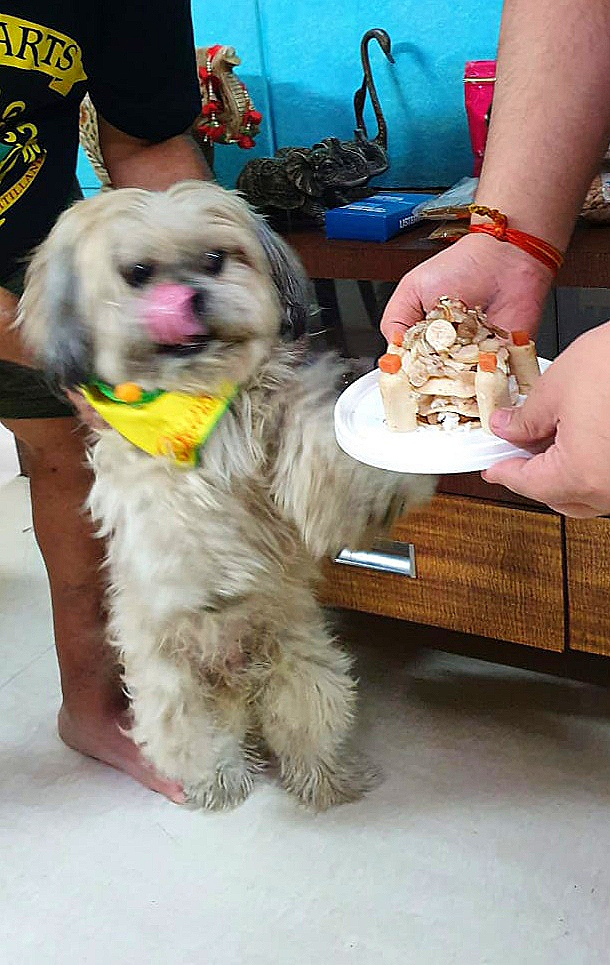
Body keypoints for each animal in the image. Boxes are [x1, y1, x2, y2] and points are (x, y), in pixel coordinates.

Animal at [16, 181, 430, 804]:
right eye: (138, 273)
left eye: (215, 258)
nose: (190, 297)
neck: (207, 401)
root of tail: (239, 682)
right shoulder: (157, 484)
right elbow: (188, 525)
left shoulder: (287, 432)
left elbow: (320, 454)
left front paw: (381, 480)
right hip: (173, 694)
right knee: (200, 743)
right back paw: (220, 782)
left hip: (307, 671)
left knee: (304, 733)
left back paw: (326, 780)